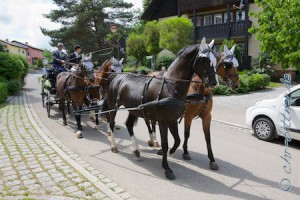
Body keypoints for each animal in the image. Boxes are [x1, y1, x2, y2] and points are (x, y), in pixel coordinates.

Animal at [102, 38, 217, 180]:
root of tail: (116, 77)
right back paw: (114, 146)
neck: (171, 86)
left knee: (129, 125)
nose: (214, 82)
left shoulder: (172, 120)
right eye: (204, 60)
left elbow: (177, 140)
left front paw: (170, 153)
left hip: (134, 109)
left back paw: (136, 150)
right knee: (112, 123)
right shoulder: (163, 121)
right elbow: (165, 143)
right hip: (113, 107)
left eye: (215, 59)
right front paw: (167, 168)